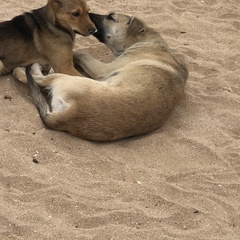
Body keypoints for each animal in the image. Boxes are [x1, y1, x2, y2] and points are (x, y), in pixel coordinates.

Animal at [16, 11, 189, 141]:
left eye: (111, 17)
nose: (90, 13)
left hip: (70, 80)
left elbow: (80, 53)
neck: (146, 40)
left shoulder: (102, 70)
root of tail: (68, 115)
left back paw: (26, 68)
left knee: (37, 78)